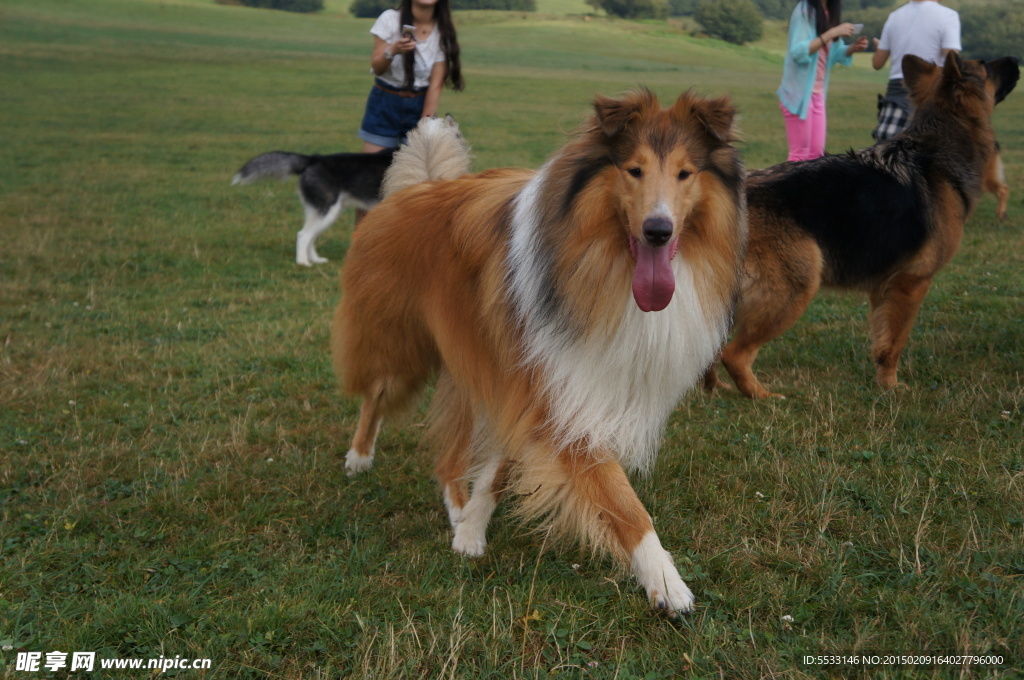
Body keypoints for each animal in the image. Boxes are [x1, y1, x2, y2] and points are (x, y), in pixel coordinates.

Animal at [331, 90, 749, 614]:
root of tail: (423, 185)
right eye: (633, 170)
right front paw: (667, 583)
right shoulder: (553, 390)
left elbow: (501, 467)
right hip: (401, 345)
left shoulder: (546, 385)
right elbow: (623, 502)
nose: (659, 230)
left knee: (451, 452)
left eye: (685, 173)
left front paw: (471, 528)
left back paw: (457, 504)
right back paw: (359, 457)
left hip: (470, 358)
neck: (600, 264)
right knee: (376, 395)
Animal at [708, 55, 1019, 401]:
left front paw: (882, 383)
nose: (1015, 58)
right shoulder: (912, 284)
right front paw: (892, 388)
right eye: (986, 66)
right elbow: (895, 344)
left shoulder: (883, 289)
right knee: (733, 354)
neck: (936, 150)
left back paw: (715, 389)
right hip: (793, 289)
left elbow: (881, 341)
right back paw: (761, 396)